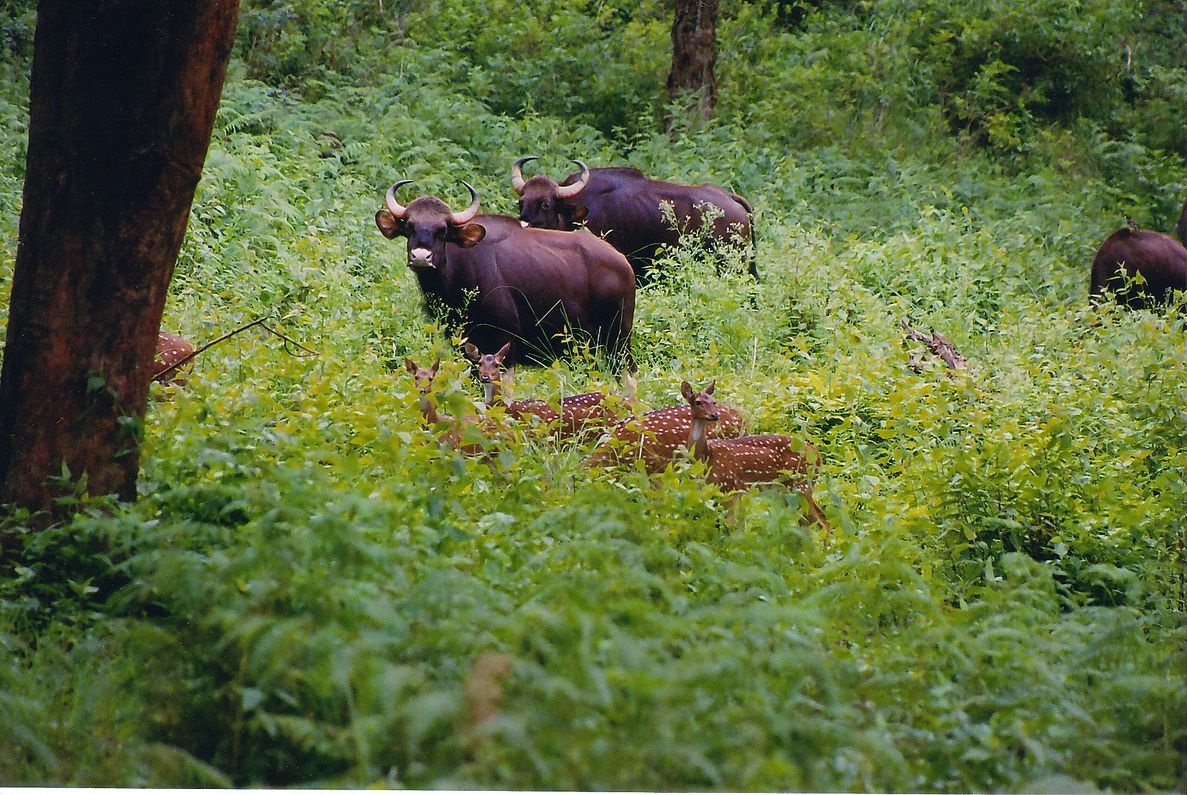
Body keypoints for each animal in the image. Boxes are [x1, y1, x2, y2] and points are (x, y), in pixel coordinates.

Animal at [683, 382, 830, 529]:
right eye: (698, 402)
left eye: (713, 402)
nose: (715, 415)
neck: (706, 456)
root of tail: (817, 455)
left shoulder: (728, 486)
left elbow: (731, 525)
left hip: (800, 484)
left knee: (822, 521)